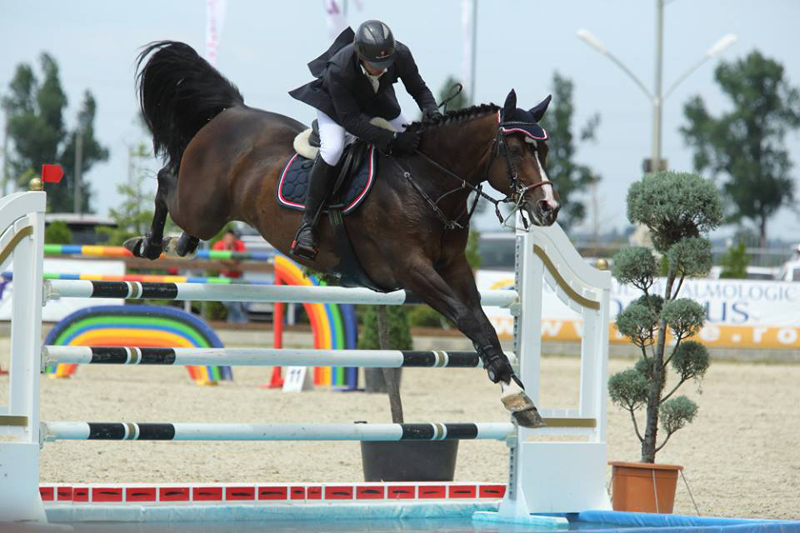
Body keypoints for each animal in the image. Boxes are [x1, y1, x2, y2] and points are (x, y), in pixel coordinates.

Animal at [128, 39, 560, 426]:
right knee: (166, 182)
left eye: (543, 150)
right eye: (515, 150)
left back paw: (179, 243)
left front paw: (514, 391)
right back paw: (148, 243)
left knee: (182, 212)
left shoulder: (452, 266)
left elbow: (481, 322)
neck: (424, 179)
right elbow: (466, 318)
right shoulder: (411, 269)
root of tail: (233, 111)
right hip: (204, 205)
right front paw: (513, 391)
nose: (548, 209)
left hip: (207, 211)